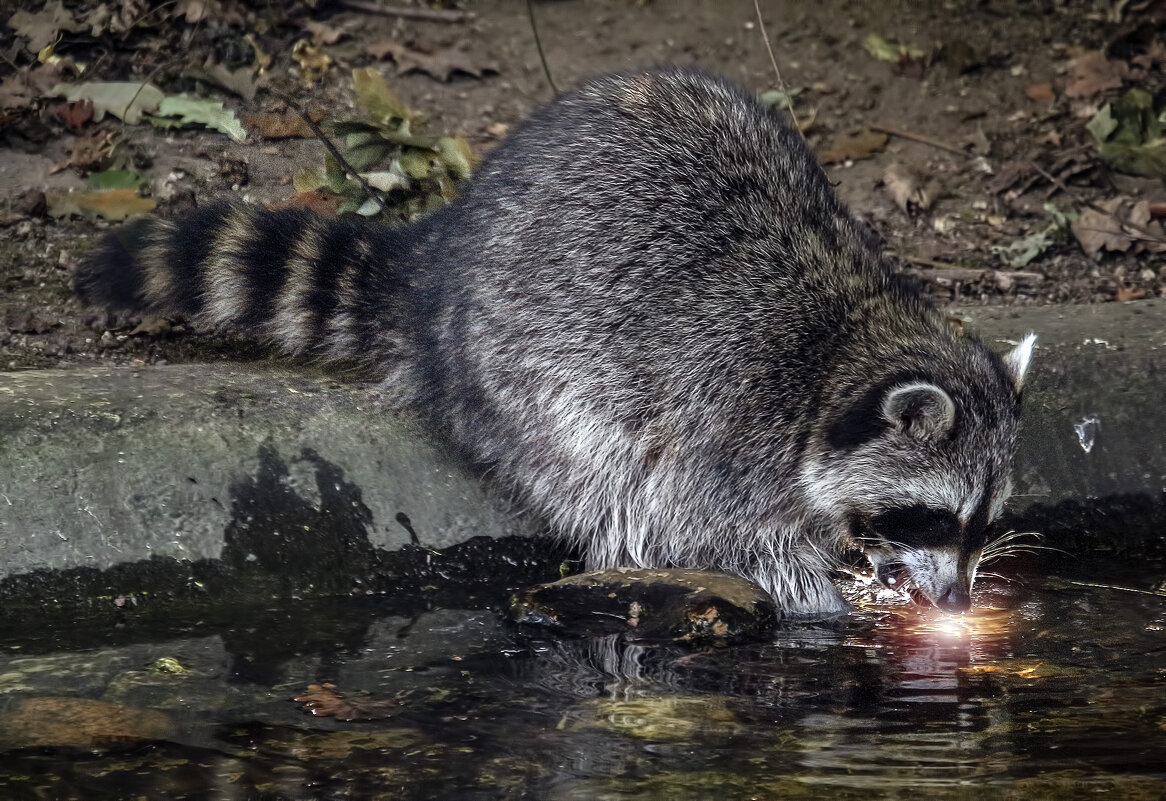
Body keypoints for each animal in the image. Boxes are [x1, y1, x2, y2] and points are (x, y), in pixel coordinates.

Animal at [77, 70, 1035, 620]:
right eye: (935, 515)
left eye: (984, 520)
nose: (958, 604)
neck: (851, 339)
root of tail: (436, 267)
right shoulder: (733, 408)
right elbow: (716, 525)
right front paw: (823, 599)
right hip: (528, 369)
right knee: (605, 472)